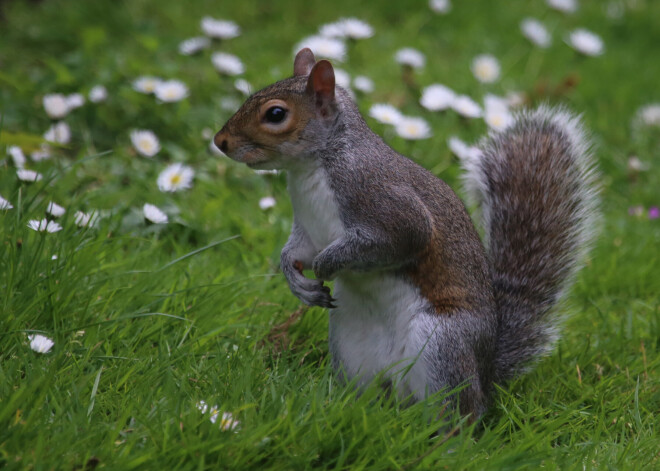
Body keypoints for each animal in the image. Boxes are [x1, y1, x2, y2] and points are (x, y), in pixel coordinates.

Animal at [215, 47, 600, 416]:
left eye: (276, 114)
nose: (220, 141)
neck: (315, 164)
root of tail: (487, 373)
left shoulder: (385, 202)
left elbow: (399, 239)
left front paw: (328, 264)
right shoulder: (307, 228)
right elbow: (296, 252)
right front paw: (297, 281)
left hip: (442, 345)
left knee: (462, 412)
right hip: (350, 349)